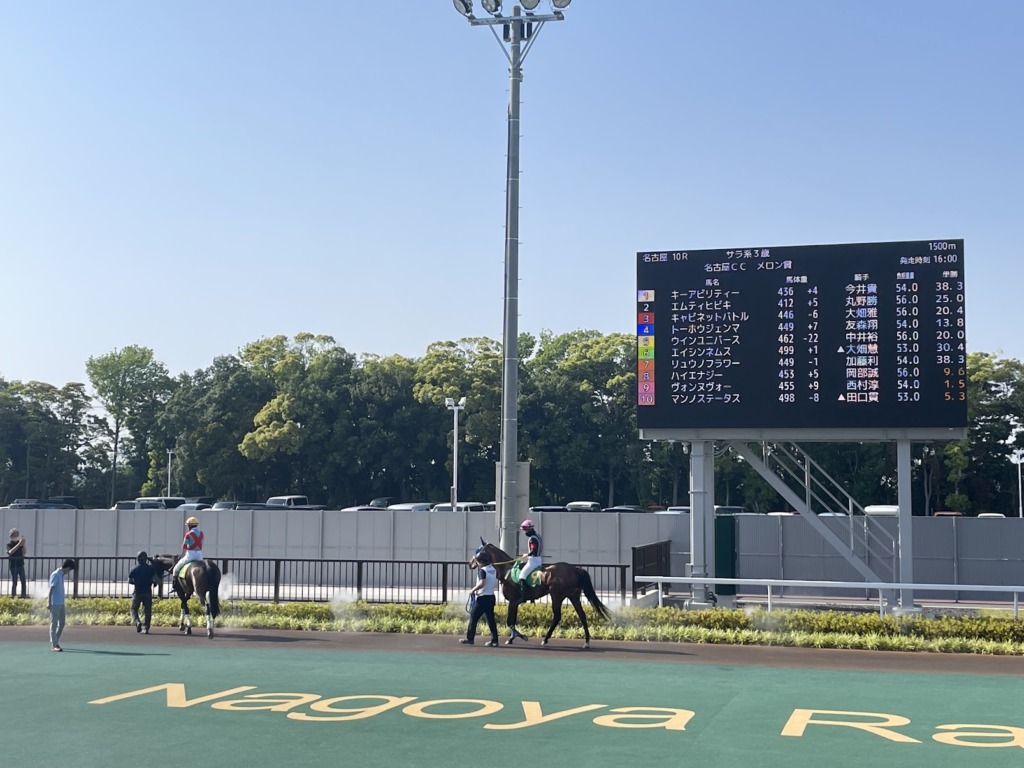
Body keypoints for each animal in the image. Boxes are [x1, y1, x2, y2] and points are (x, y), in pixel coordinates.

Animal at [468, 540, 606, 651]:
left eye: (478, 550)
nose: (470, 563)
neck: (507, 570)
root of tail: (575, 569)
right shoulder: (515, 603)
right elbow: (513, 620)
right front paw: (511, 638)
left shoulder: (512, 601)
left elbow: (509, 621)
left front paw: (521, 636)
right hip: (574, 596)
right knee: (582, 616)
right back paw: (586, 642)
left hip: (556, 595)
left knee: (557, 616)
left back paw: (545, 639)